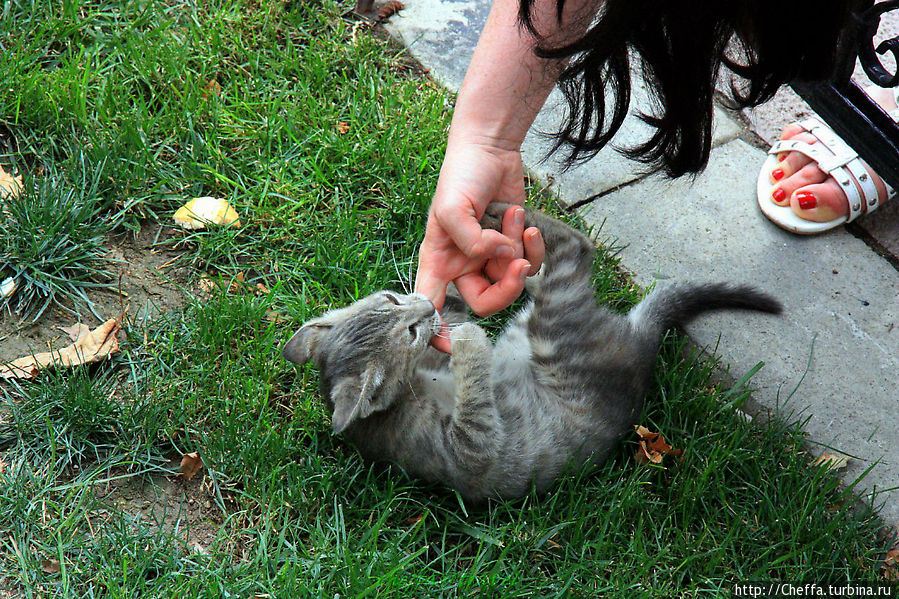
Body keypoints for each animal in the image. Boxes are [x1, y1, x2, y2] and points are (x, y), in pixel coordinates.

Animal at [284, 205, 780, 502]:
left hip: (530, 325)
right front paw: (469, 340)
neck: (416, 383)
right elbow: (475, 405)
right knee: (578, 251)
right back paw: (515, 223)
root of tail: (640, 341)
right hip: (554, 331)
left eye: (390, 298)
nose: (424, 306)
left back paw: (505, 226)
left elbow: (459, 307)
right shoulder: (468, 449)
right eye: (408, 332)